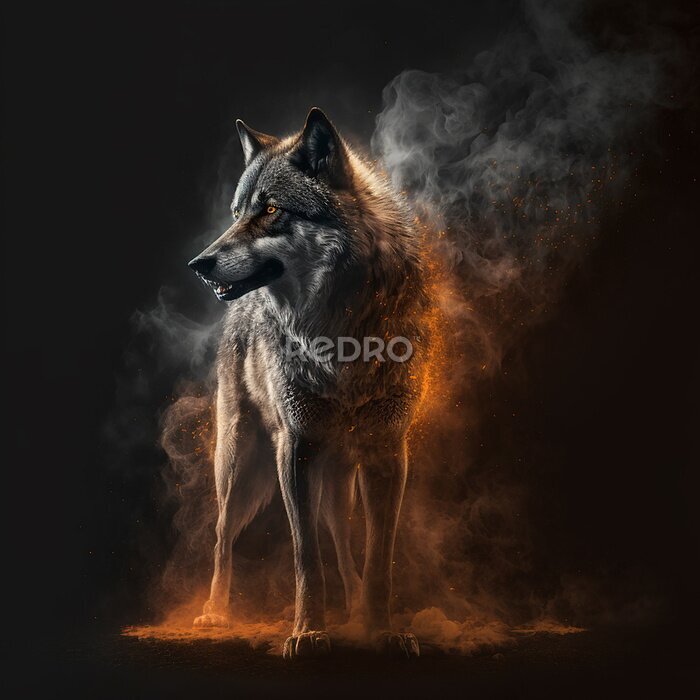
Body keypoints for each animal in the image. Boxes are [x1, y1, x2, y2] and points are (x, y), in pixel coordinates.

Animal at [188, 108, 429, 658]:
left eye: (271, 209)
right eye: (237, 212)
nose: (199, 264)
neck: (340, 335)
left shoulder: (388, 452)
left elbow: (377, 556)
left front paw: (382, 629)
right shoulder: (295, 449)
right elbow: (305, 557)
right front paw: (307, 633)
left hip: (339, 476)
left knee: (342, 542)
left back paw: (356, 609)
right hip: (241, 463)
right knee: (221, 535)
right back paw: (214, 612)